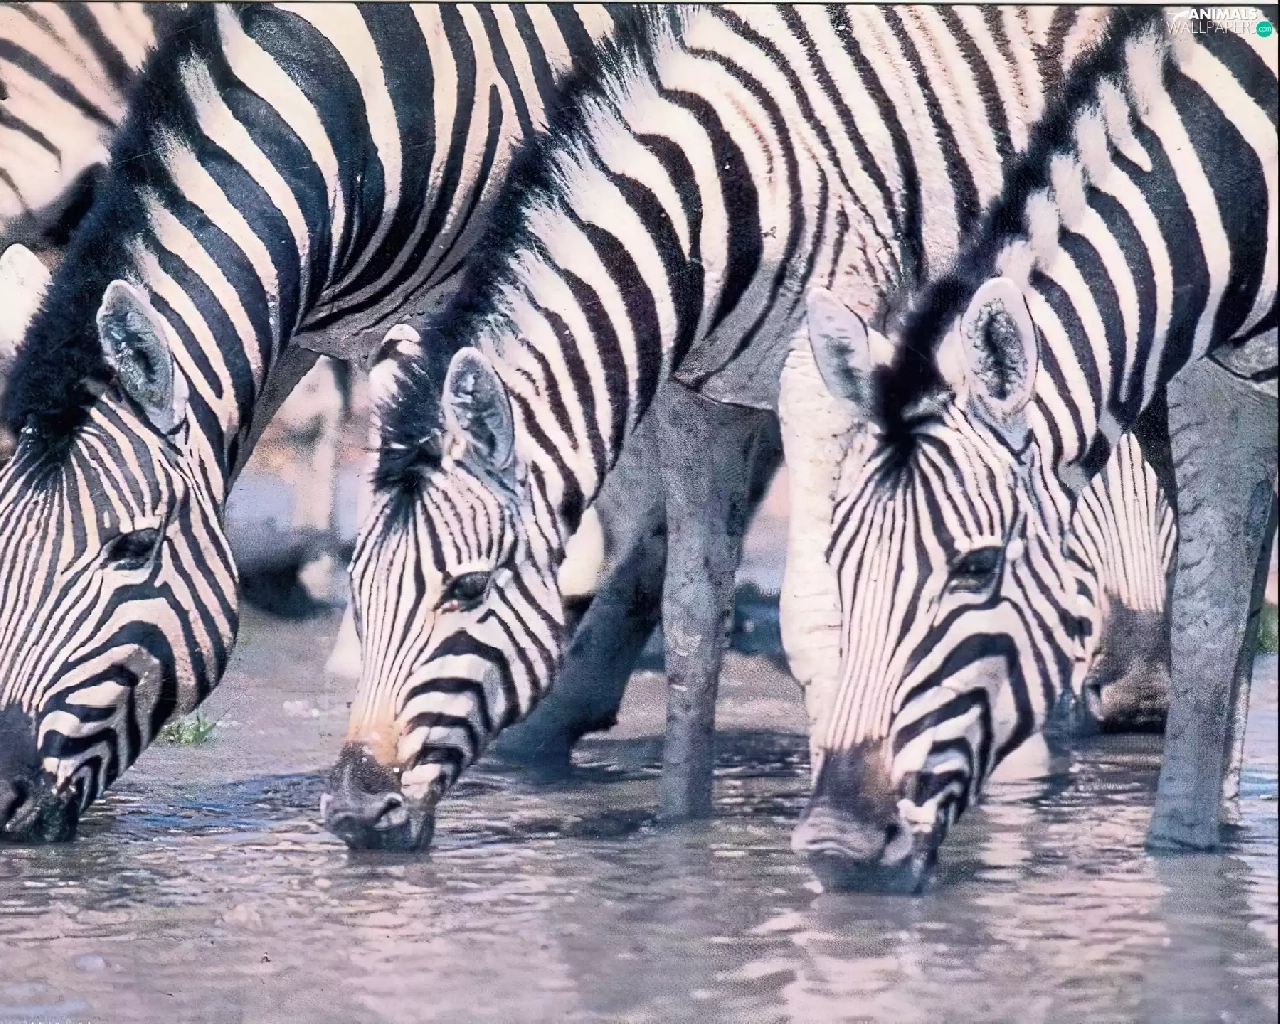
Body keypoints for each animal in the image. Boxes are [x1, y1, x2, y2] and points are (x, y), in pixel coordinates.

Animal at [324, 5, 1187, 851]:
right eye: (357, 592)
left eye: (466, 590)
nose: (355, 812)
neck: (716, 206)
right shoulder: (697, 401)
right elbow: (693, 619)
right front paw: (682, 836)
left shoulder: (820, 382)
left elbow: (819, 611)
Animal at [793, 6, 1275, 889]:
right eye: (840, 562)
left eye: (977, 568)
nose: (837, 851)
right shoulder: (1224, 386)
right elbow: (1207, 619)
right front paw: (1183, 855)